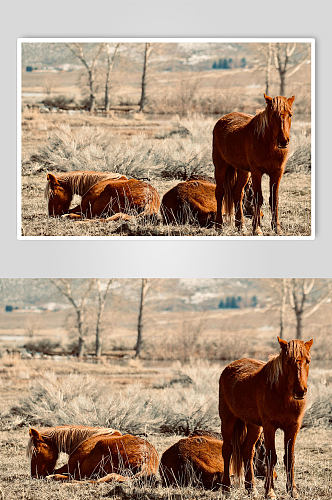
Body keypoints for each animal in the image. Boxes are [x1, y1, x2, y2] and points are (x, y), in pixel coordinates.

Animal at [211, 94, 294, 235]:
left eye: (290, 115)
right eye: (273, 115)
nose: (283, 141)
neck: (268, 144)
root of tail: (221, 120)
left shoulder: (277, 173)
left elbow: (274, 199)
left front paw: (277, 228)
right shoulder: (257, 172)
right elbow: (258, 199)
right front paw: (257, 229)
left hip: (243, 172)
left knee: (237, 193)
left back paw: (241, 226)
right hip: (221, 167)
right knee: (220, 193)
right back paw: (219, 225)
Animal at [219, 338, 312, 498]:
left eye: (308, 361)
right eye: (288, 361)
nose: (300, 391)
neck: (283, 396)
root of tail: (229, 368)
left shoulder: (293, 428)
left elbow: (290, 457)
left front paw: (293, 491)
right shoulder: (270, 427)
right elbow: (271, 457)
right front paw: (270, 492)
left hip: (254, 426)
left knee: (247, 451)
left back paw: (251, 488)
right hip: (227, 420)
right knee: (227, 450)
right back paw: (226, 488)